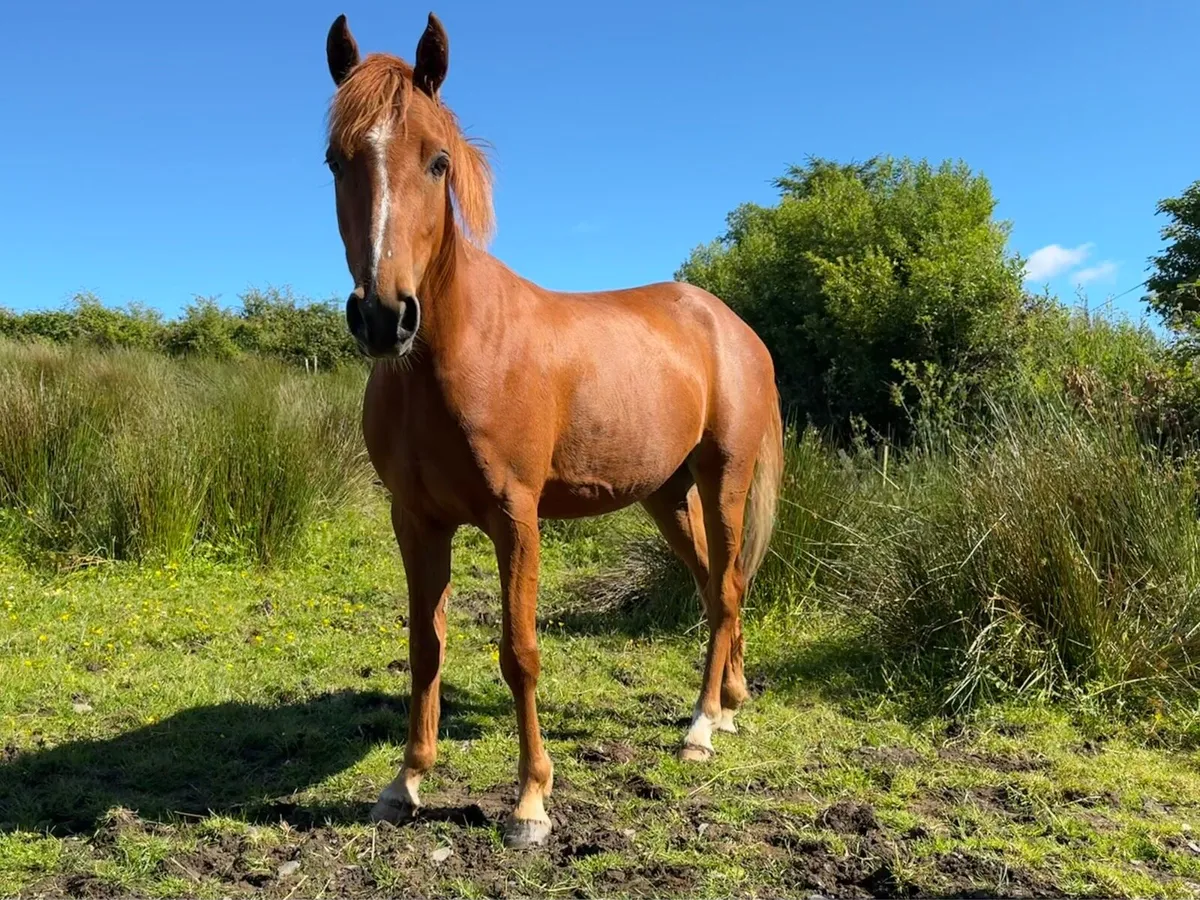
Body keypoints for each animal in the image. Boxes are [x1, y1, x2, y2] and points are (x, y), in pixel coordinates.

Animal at [322, 11, 784, 849]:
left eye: (437, 161)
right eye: (337, 161)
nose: (383, 315)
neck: (456, 350)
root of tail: (733, 327)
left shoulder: (518, 518)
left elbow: (520, 652)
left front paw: (531, 801)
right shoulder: (416, 520)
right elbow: (425, 646)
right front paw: (405, 783)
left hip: (723, 480)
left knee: (729, 587)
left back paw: (702, 724)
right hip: (667, 495)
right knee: (715, 587)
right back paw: (730, 701)